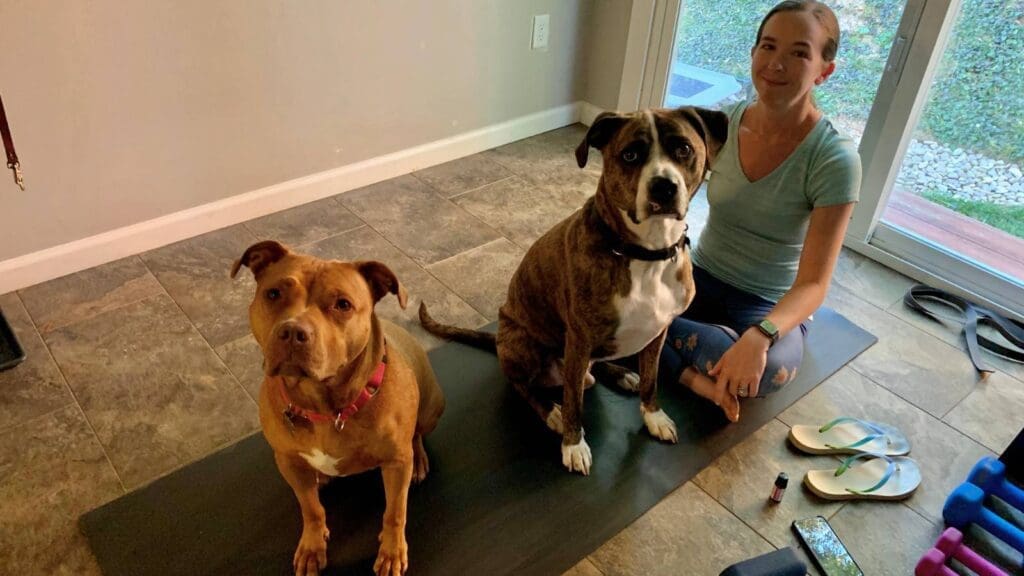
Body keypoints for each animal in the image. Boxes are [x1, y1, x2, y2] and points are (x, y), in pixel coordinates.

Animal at [234, 239, 446, 569]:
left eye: (343, 304)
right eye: (274, 293)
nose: (292, 332)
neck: (325, 407)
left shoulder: (396, 464)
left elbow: (395, 512)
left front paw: (392, 552)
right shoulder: (288, 461)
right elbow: (310, 508)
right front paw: (312, 545)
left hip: (431, 408)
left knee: (417, 436)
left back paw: (420, 459)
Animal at [421, 105, 729, 473]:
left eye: (683, 149)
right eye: (630, 155)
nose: (663, 187)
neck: (643, 252)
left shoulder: (658, 331)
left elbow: (652, 379)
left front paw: (653, 416)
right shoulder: (579, 338)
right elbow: (573, 404)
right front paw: (573, 444)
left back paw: (621, 375)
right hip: (523, 343)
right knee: (524, 385)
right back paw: (550, 411)